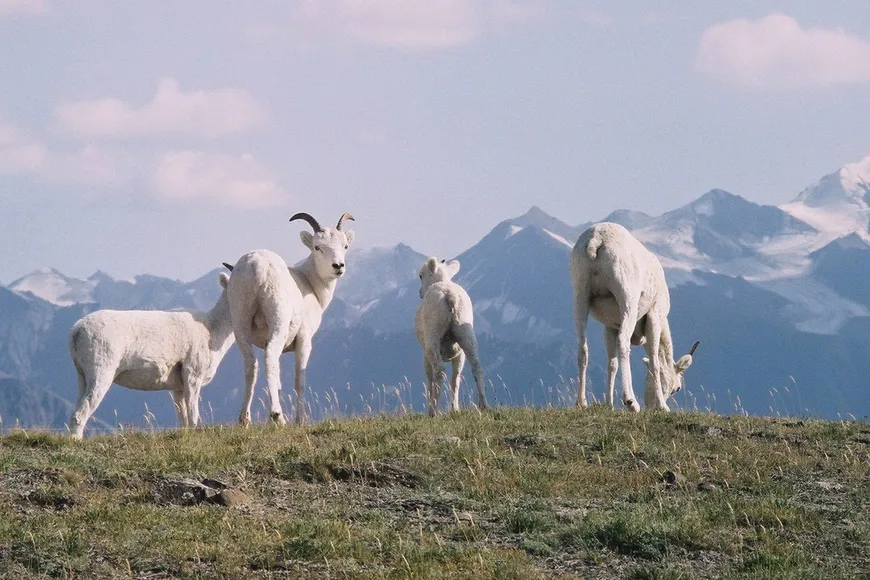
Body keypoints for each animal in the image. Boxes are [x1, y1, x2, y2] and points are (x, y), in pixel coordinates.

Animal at [67, 272, 234, 439]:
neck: (211, 329)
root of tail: (78, 329)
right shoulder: (193, 377)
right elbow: (193, 416)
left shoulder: (178, 387)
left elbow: (183, 418)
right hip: (100, 373)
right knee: (81, 413)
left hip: (82, 376)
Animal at [223, 212, 355, 425]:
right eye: (317, 247)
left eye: (345, 246)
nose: (338, 266)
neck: (310, 284)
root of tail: (257, 266)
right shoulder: (304, 340)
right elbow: (299, 381)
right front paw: (300, 420)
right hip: (278, 324)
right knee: (268, 359)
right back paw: (278, 417)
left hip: (240, 324)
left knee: (251, 365)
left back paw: (245, 420)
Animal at [415, 257, 487, 416]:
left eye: (421, 275)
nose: (420, 293)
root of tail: (450, 296)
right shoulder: (458, 353)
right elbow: (455, 379)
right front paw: (455, 408)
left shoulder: (425, 354)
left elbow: (429, 378)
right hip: (466, 334)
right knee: (474, 368)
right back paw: (482, 406)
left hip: (433, 337)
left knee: (440, 371)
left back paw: (434, 412)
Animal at [569, 222, 699, 411]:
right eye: (677, 388)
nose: (650, 405)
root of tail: (597, 239)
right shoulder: (654, 317)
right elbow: (655, 360)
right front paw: (663, 407)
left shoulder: (609, 327)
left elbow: (612, 363)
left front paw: (609, 405)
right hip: (627, 301)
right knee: (623, 342)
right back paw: (631, 403)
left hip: (580, 296)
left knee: (583, 348)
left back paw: (582, 402)